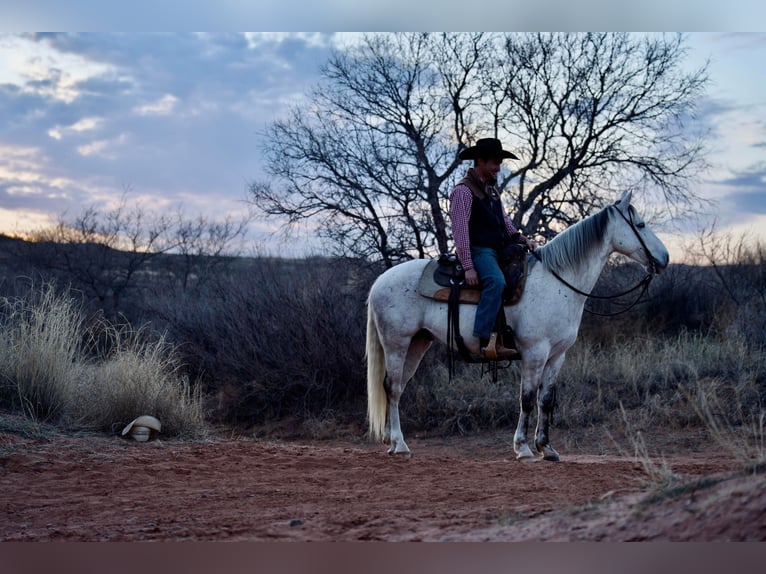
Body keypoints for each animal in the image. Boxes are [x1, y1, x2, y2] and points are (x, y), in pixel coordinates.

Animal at [368, 192, 668, 464]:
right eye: (640, 224)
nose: (664, 258)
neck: (558, 282)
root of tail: (380, 281)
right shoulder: (534, 353)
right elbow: (527, 398)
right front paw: (523, 448)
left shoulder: (557, 356)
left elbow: (545, 400)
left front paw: (547, 448)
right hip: (396, 343)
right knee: (392, 386)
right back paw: (400, 445)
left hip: (418, 342)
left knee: (397, 387)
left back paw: (392, 442)